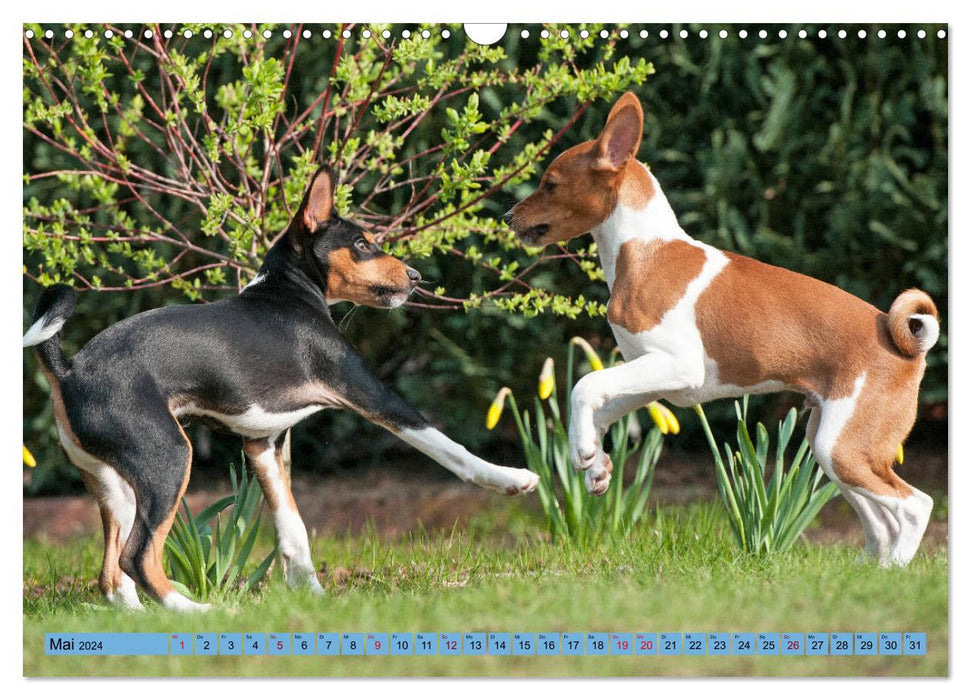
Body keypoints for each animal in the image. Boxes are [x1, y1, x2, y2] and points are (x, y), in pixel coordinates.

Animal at [24, 167, 540, 608]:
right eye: (362, 244)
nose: (414, 277)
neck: (289, 291)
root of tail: (69, 370)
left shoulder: (264, 444)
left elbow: (293, 528)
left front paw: (312, 596)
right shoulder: (370, 393)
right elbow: (448, 448)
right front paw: (511, 478)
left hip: (115, 485)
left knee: (112, 575)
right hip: (167, 457)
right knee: (137, 557)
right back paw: (196, 611)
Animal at [504, 93, 936, 568]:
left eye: (550, 184)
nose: (506, 216)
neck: (646, 252)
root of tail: (905, 343)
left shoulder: (678, 366)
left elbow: (584, 385)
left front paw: (583, 451)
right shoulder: (654, 376)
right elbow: (601, 406)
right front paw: (596, 465)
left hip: (843, 447)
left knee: (914, 506)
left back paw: (896, 568)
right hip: (832, 444)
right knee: (880, 521)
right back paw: (873, 570)